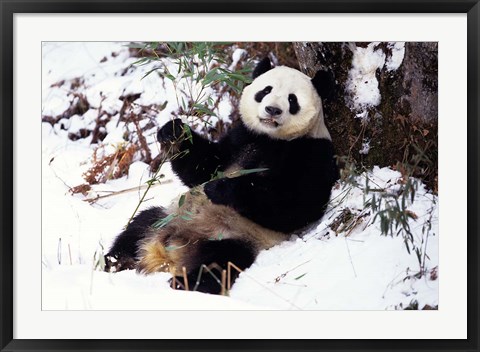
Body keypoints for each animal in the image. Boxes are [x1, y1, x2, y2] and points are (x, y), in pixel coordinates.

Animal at [105, 57, 338, 294]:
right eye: (266, 90)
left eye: (292, 99)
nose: (272, 109)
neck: (271, 139)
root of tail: (171, 251)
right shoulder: (242, 137)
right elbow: (204, 167)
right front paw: (174, 132)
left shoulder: (313, 151)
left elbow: (296, 205)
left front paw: (220, 188)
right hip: (168, 217)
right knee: (138, 227)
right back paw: (116, 261)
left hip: (235, 237)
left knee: (219, 263)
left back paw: (183, 282)